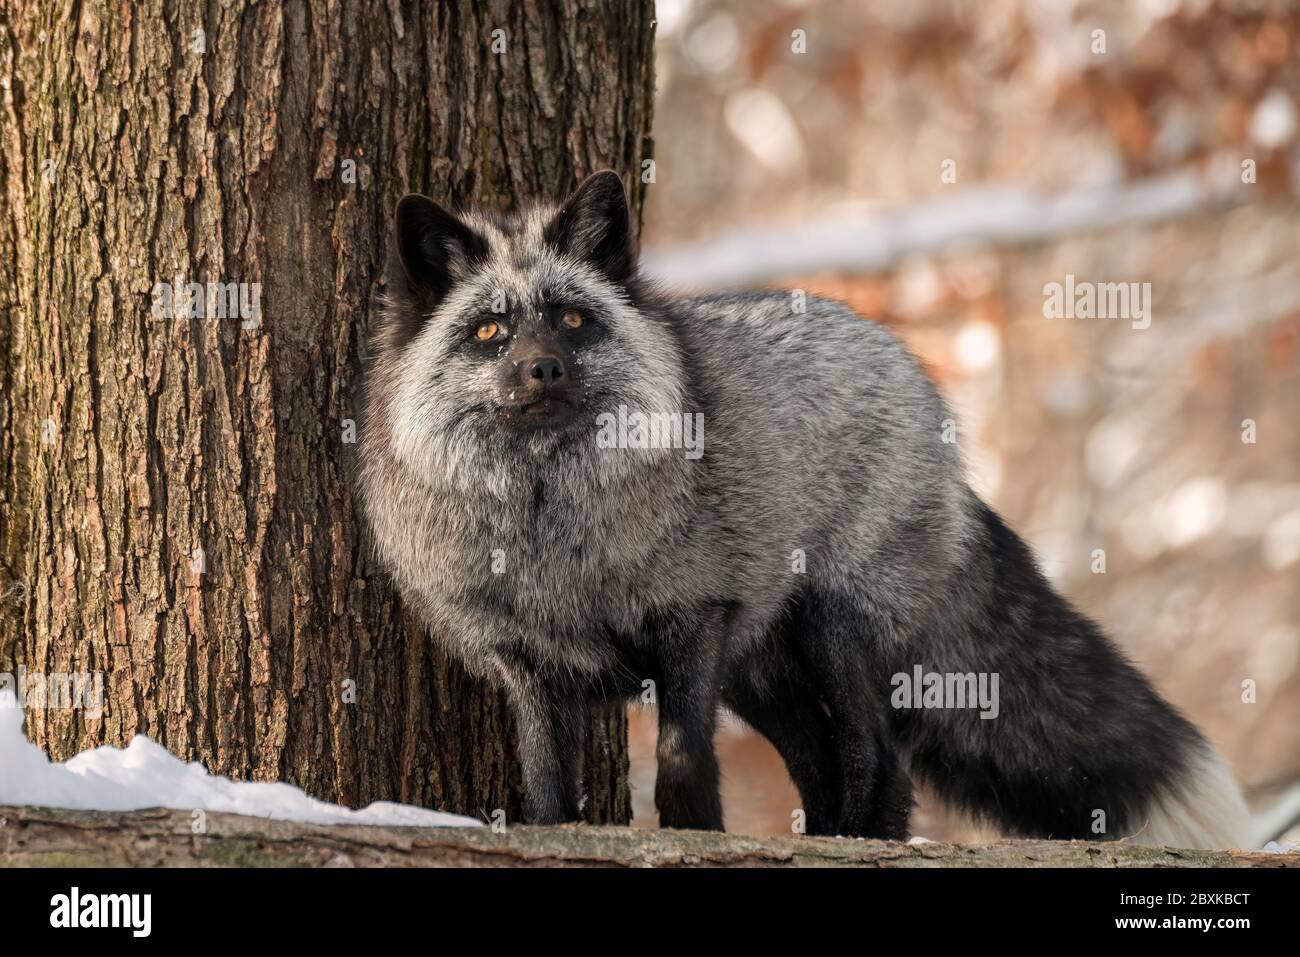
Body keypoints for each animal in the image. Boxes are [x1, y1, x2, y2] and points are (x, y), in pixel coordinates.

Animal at [356, 170, 1248, 842]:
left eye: (572, 319)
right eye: (489, 331)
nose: (542, 370)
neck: (549, 533)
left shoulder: (693, 617)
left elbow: (682, 756)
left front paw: (697, 833)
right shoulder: (527, 661)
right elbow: (546, 790)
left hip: (829, 626)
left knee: (875, 754)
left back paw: (861, 836)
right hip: (763, 672)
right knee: (821, 760)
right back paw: (833, 833)